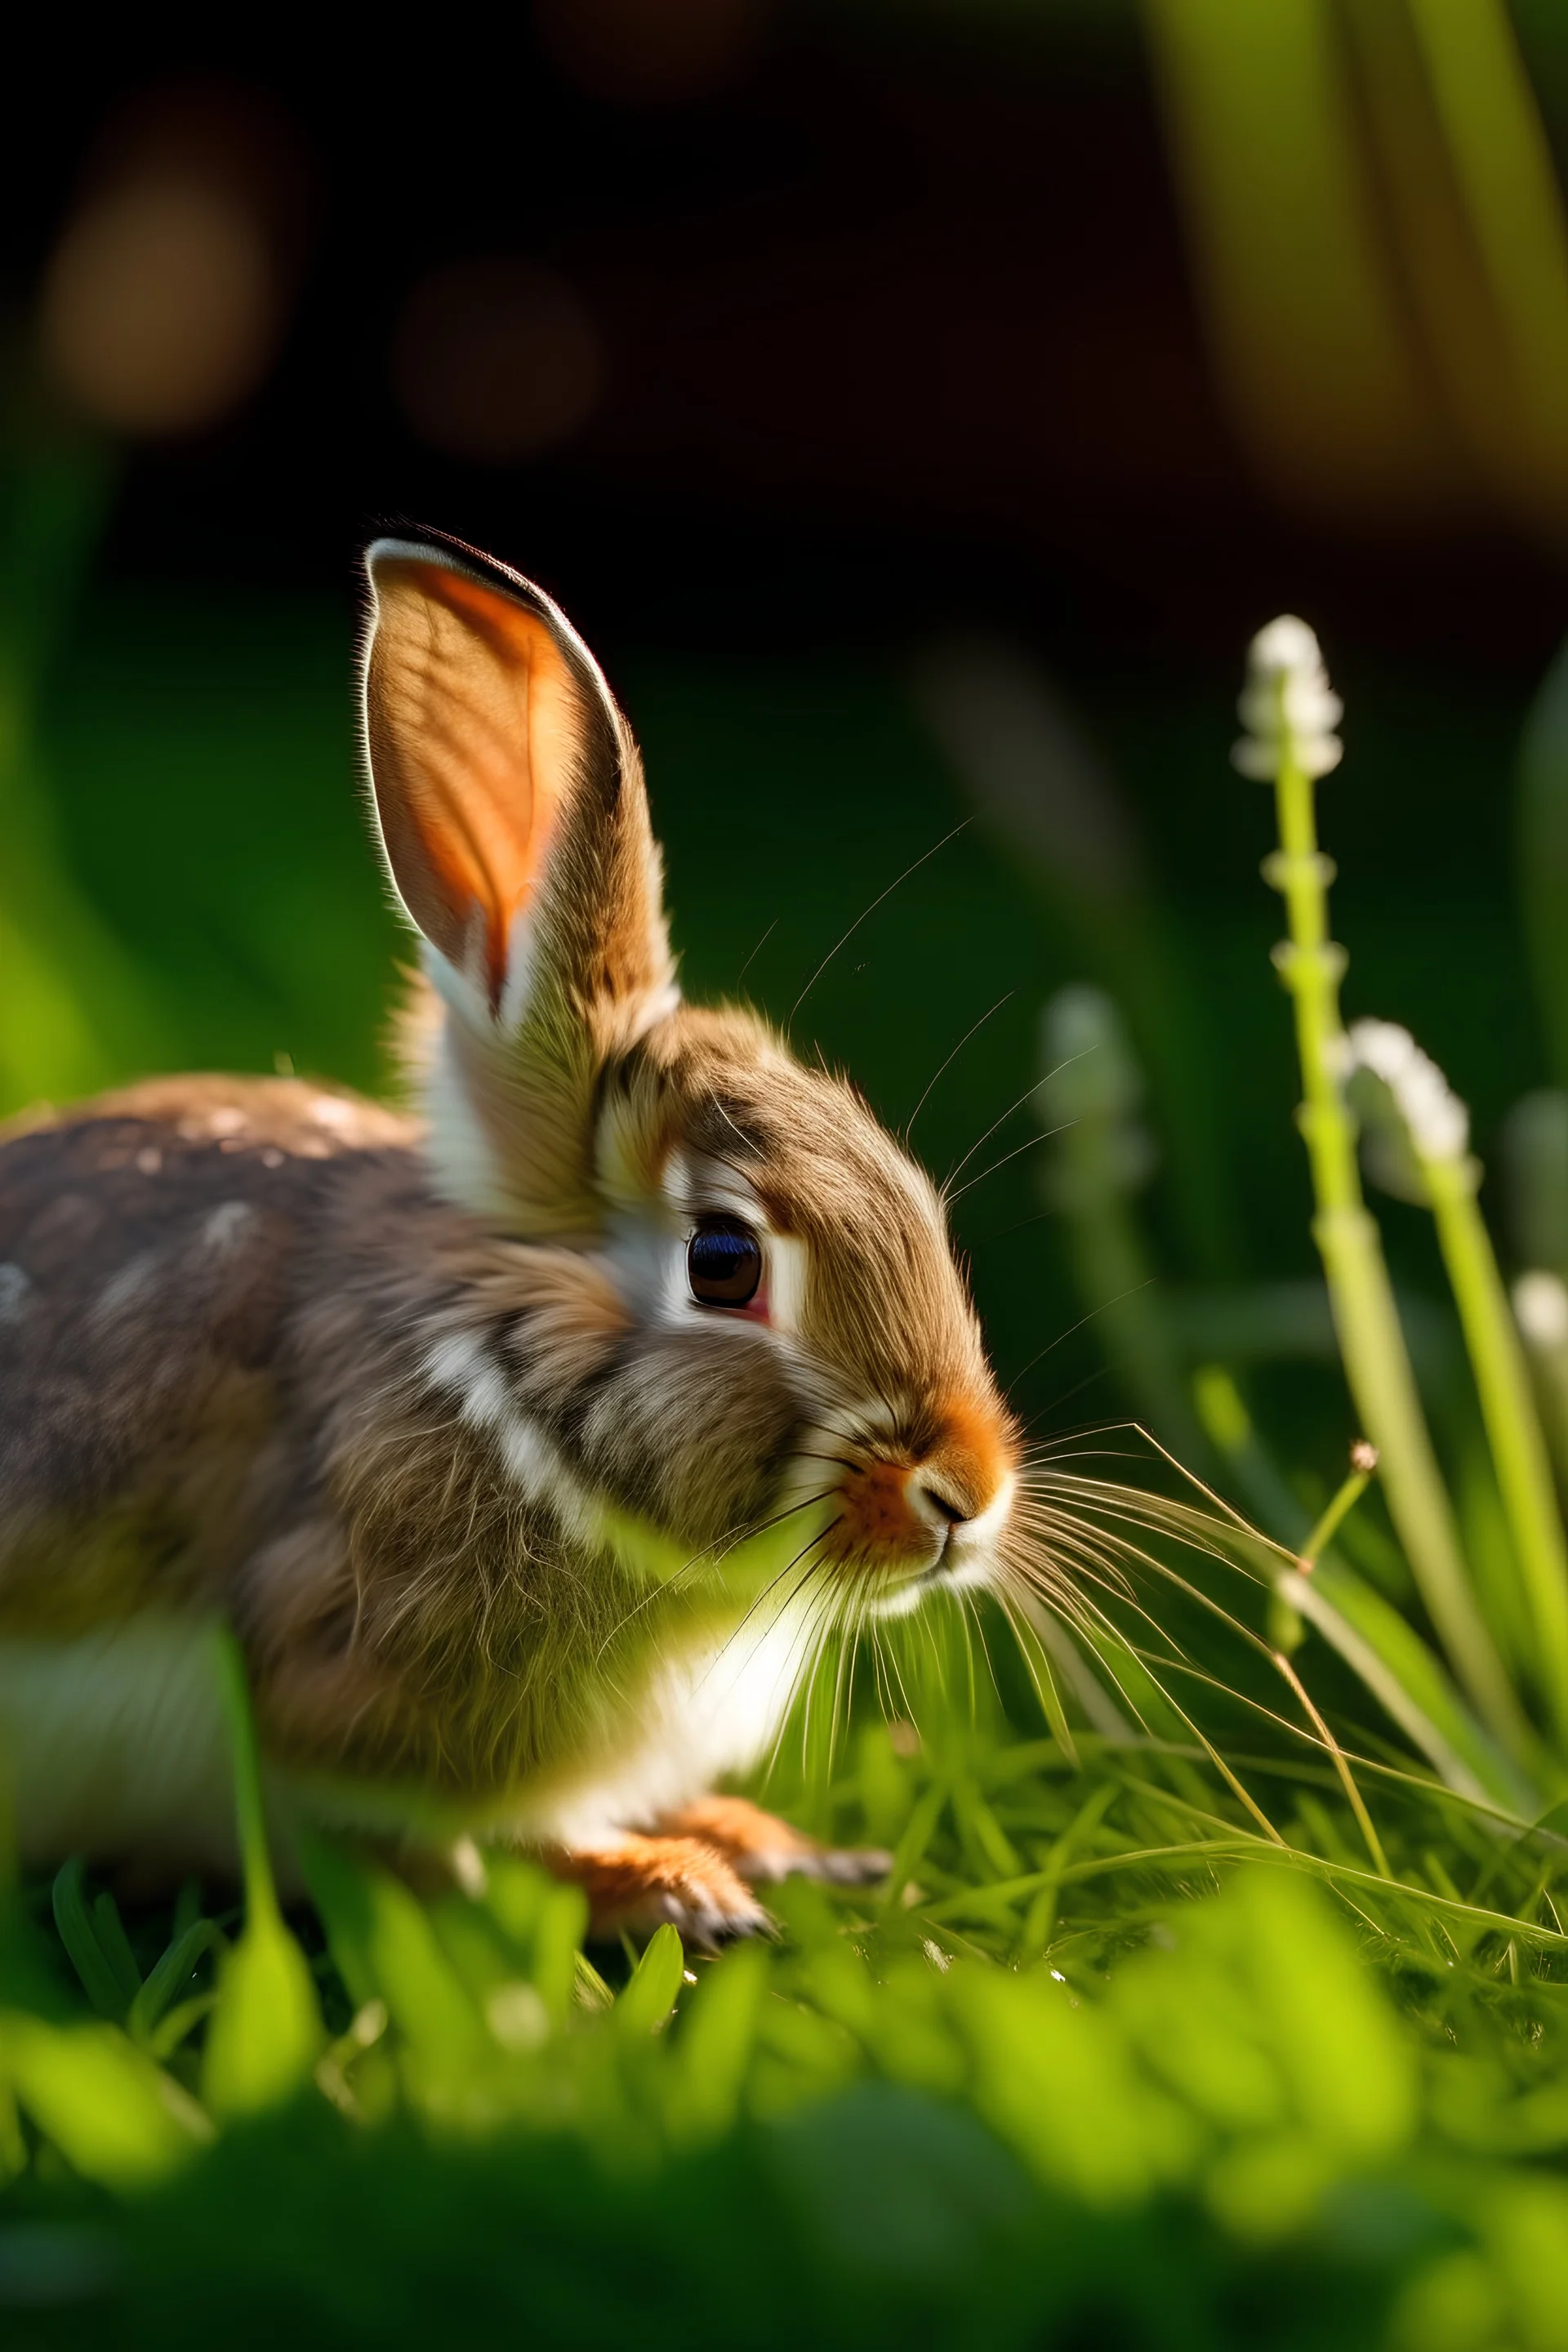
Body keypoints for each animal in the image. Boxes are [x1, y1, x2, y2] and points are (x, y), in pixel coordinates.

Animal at [0, 533, 1020, 1947]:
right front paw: (669, 1885)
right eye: (725, 1263)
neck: (501, 1379)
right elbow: (451, 1851)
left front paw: (759, 1845)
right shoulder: (339, 1684)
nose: (967, 1495)